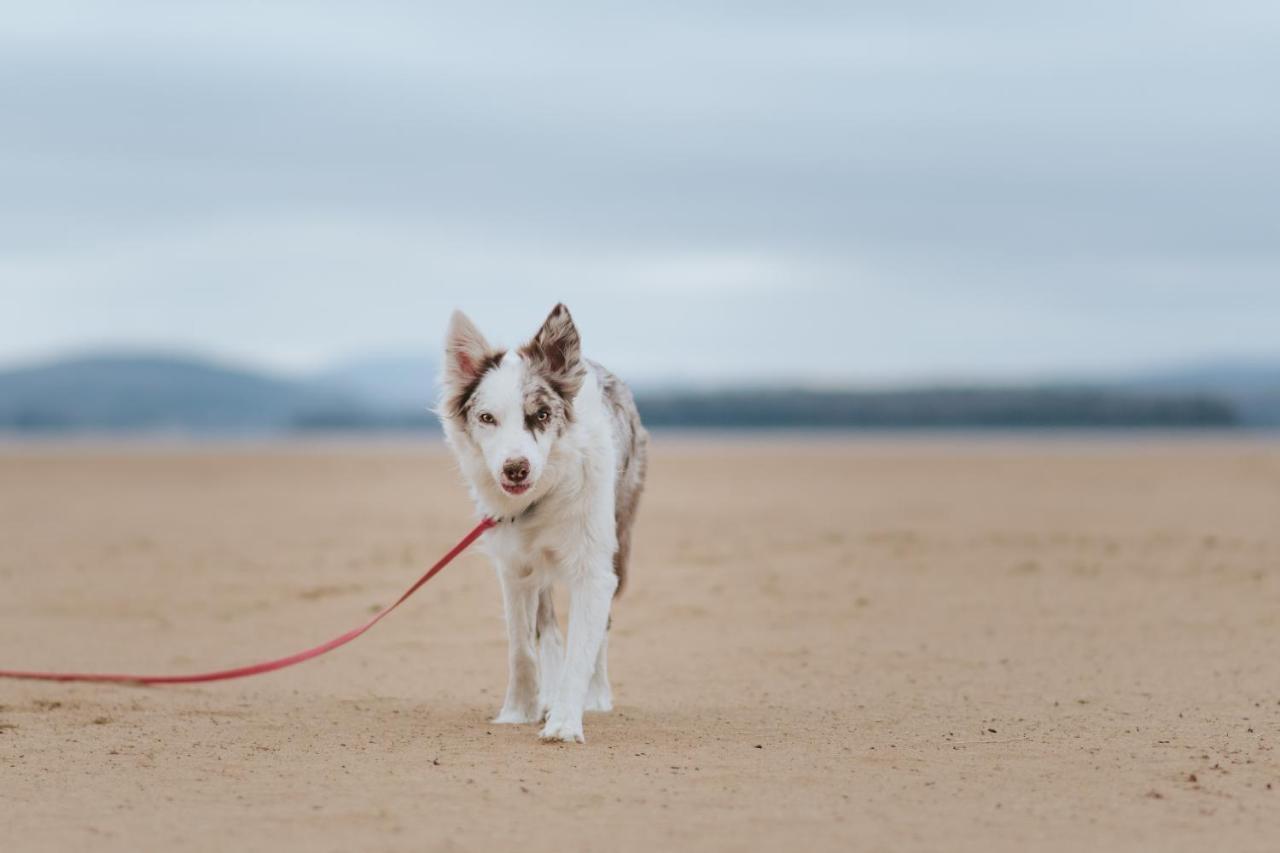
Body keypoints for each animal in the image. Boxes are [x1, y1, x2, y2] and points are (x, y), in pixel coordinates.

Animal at [442, 302, 650, 742]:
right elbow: (521, 647)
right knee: (548, 626)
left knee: (601, 629)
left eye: (541, 414)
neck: (539, 498)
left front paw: (565, 723)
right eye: (486, 417)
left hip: (619, 536)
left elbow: (582, 648)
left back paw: (596, 697)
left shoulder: (594, 568)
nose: (515, 468)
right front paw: (519, 711)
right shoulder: (513, 564)